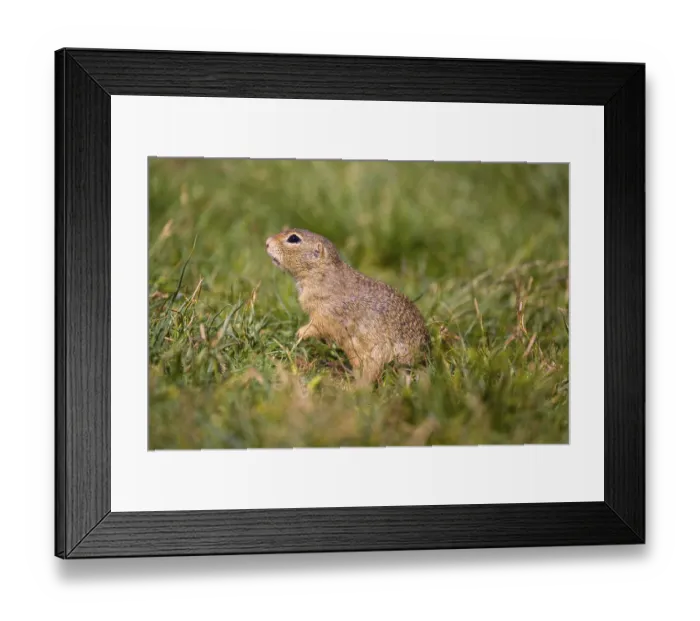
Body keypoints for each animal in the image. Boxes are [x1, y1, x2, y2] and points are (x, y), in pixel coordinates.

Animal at [265, 228, 431, 384]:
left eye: (293, 238)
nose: (267, 242)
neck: (321, 274)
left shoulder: (327, 312)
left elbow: (317, 326)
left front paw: (300, 333)